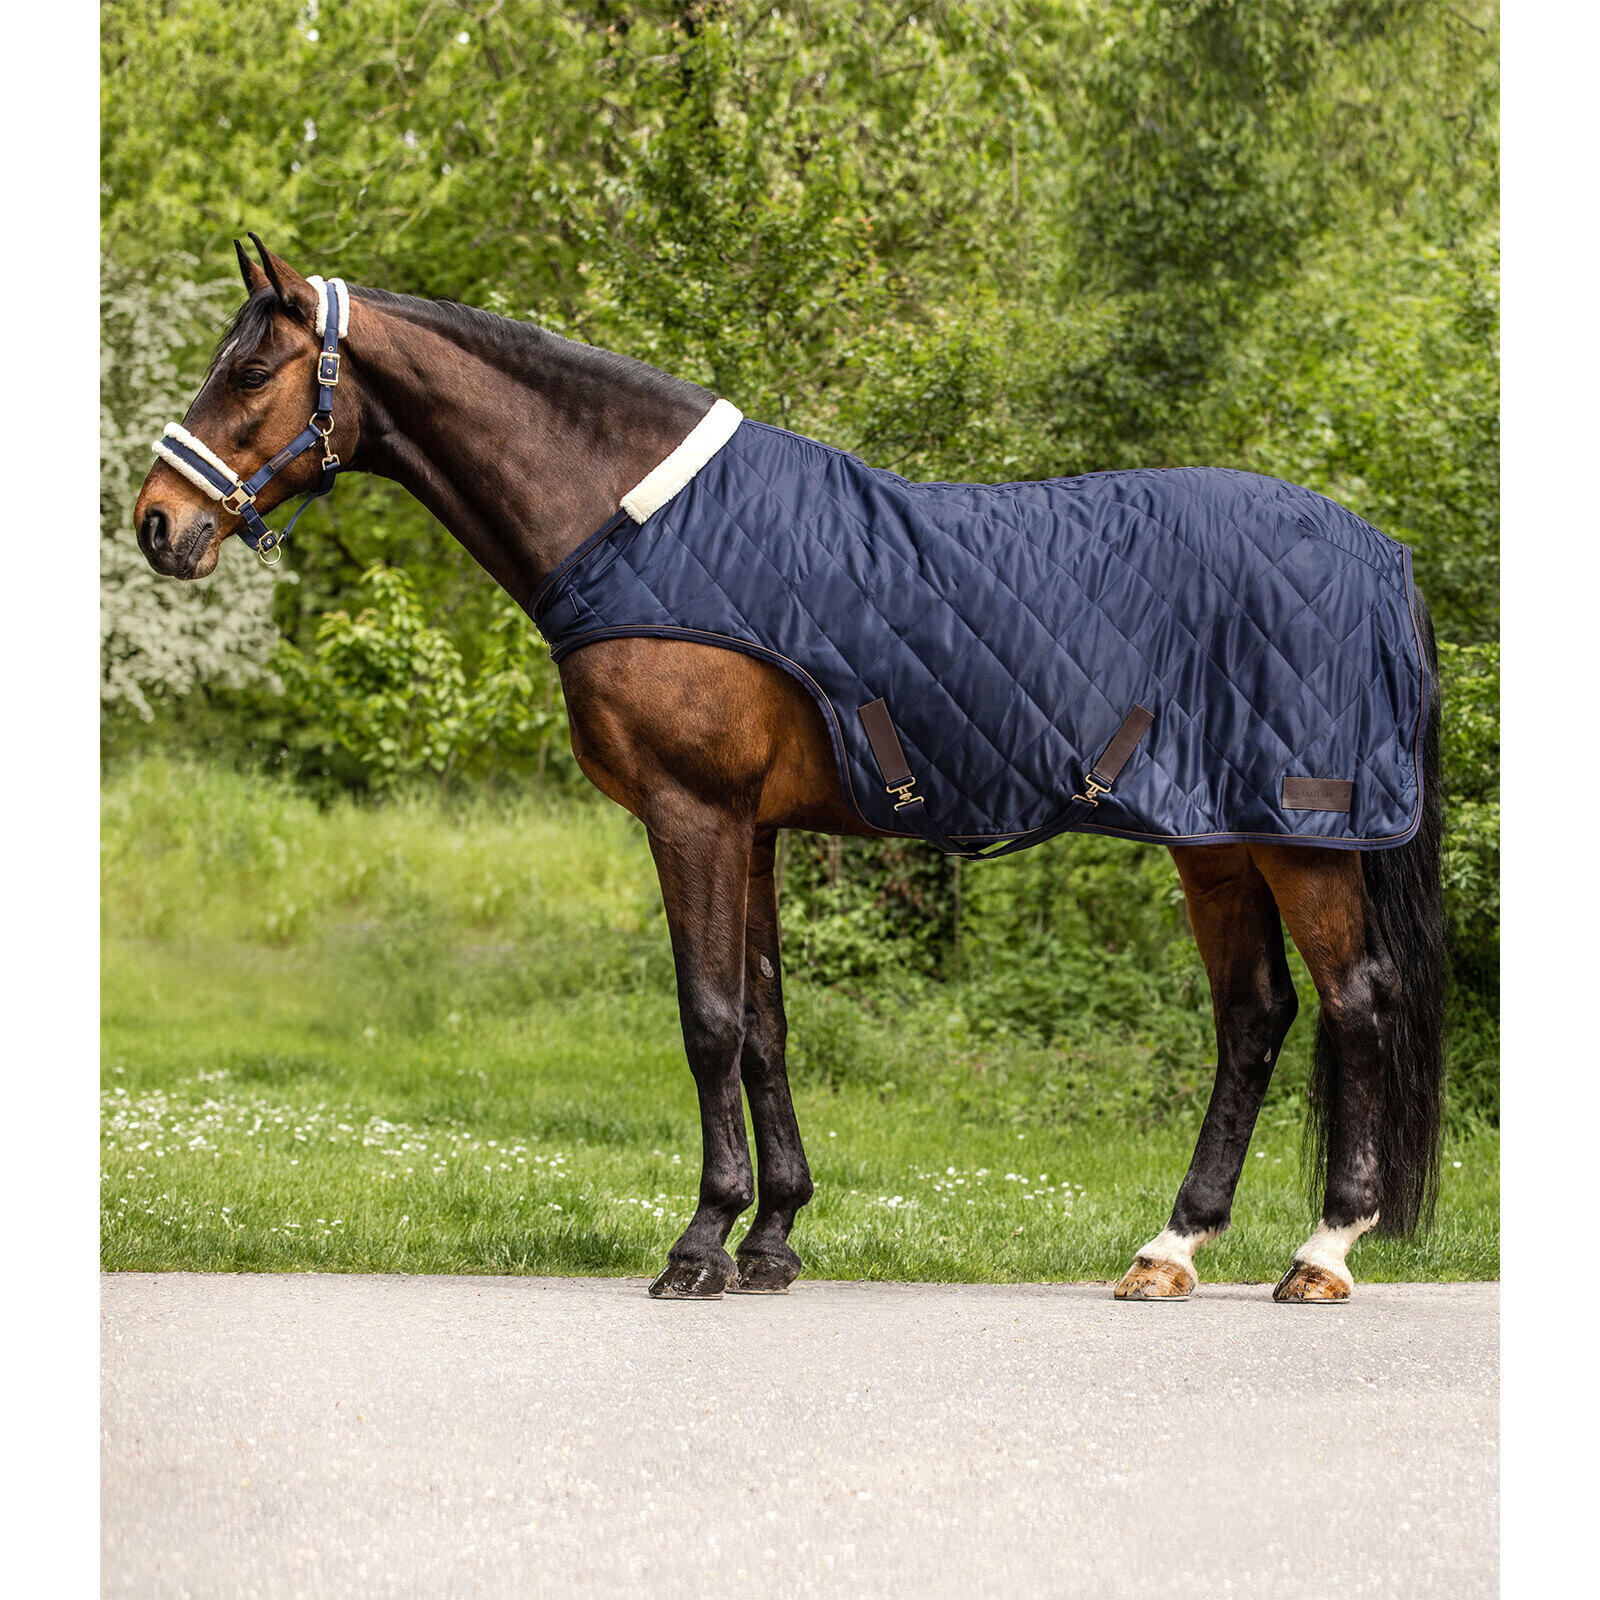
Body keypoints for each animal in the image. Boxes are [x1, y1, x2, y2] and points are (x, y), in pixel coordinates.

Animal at [133, 237, 1445, 1304]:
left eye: (250, 371)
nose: (157, 524)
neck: (639, 522)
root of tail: (1377, 550)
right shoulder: (750, 828)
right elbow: (764, 1025)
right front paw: (770, 1240)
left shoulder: (692, 813)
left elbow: (708, 1019)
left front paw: (697, 1244)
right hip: (1213, 839)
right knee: (1255, 1016)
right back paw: (1170, 1249)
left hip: (1296, 836)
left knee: (1357, 1000)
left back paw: (1322, 1251)